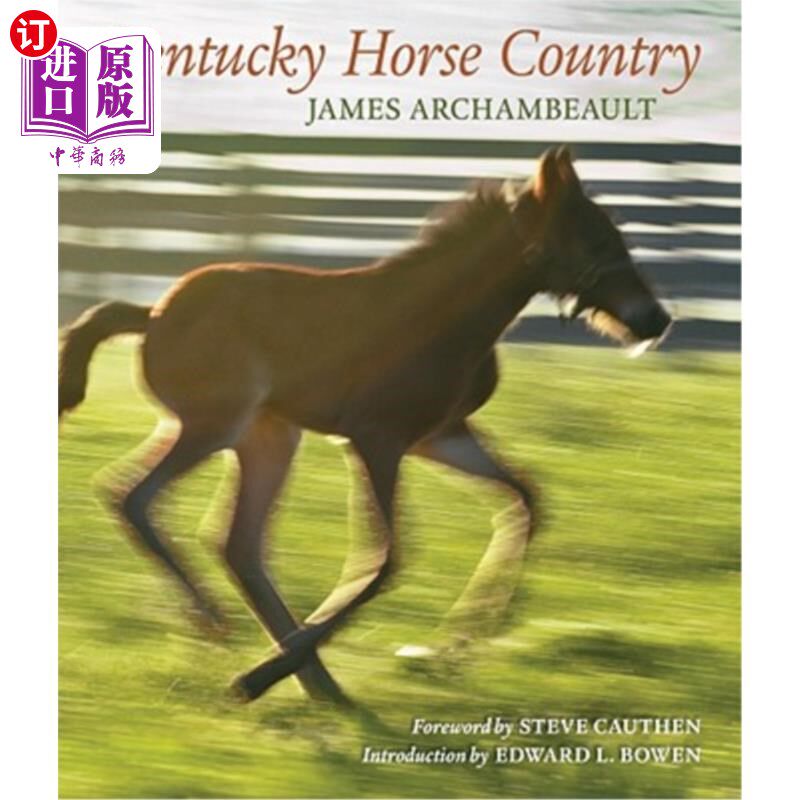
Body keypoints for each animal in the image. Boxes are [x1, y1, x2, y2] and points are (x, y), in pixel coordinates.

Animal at [58, 145, 672, 704]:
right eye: (595, 240)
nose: (656, 319)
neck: (444, 317)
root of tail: (152, 314)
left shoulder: (439, 436)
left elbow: (525, 498)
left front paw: (455, 649)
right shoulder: (376, 440)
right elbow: (386, 560)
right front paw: (260, 676)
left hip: (268, 436)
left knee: (238, 544)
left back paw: (315, 681)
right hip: (216, 425)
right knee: (133, 496)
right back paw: (226, 633)